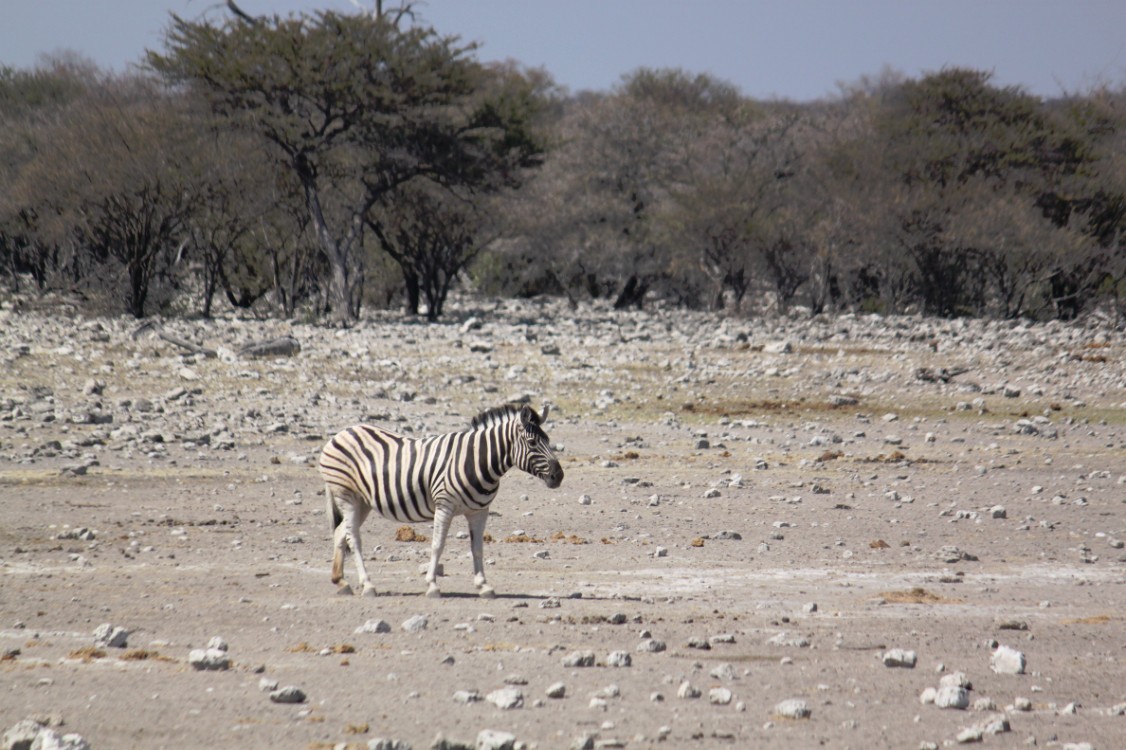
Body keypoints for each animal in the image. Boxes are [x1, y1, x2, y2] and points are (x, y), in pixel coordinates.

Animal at [317, 400, 563, 599]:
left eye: (549, 440)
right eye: (532, 443)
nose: (558, 476)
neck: (478, 460)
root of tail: (342, 432)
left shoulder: (480, 511)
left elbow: (477, 548)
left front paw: (484, 586)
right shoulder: (444, 505)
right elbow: (437, 545)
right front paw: (432, 586)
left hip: (363, 501)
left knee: (341, 532)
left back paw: (341, 581)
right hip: (346, 495)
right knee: (354, 538)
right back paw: (368, 585)